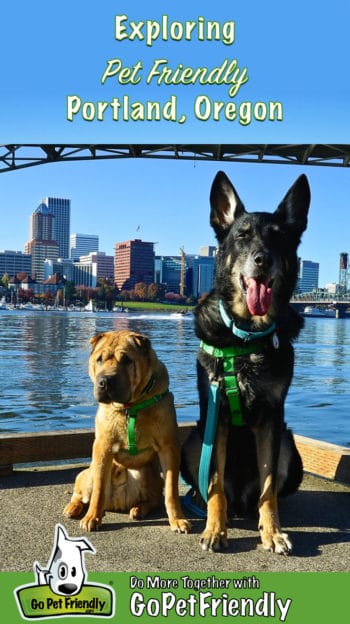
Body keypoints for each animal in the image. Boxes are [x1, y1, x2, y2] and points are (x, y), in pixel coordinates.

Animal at [63, 330, 189, 532]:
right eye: (99, 359)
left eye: (127, 360)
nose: (105, 381)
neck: (131, 406)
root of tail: (116, 504)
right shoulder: (102, 447)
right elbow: (98, 489)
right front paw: (92, 517)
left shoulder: (168, 447)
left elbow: (171, 489)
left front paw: (177, 519)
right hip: (89, 473)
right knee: (81, 492)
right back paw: (73, 508)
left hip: (148, 475)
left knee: (154, 499)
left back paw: (138, 510)